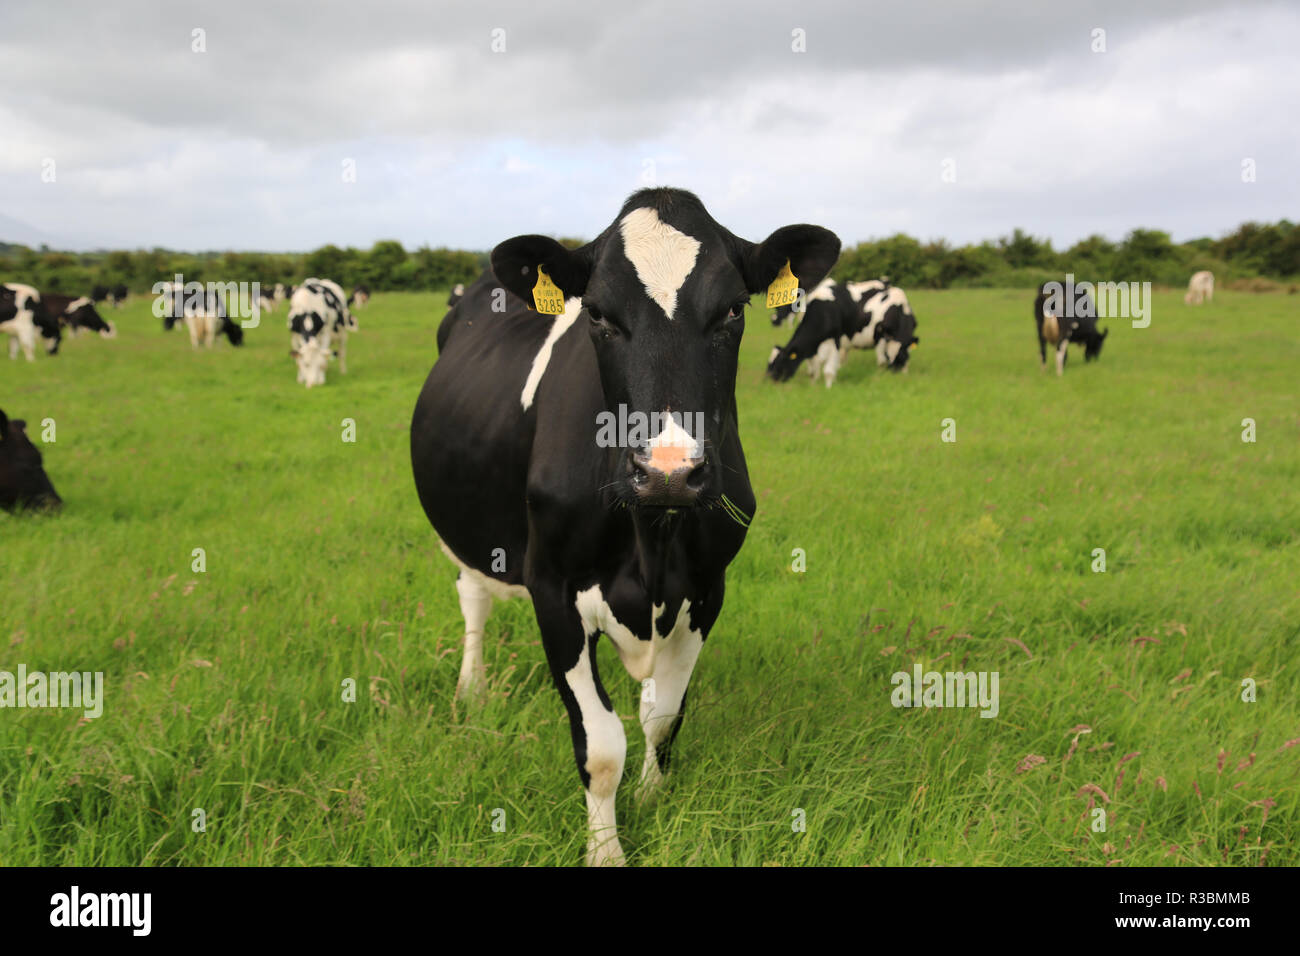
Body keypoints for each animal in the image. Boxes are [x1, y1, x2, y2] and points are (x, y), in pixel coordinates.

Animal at [410, 187, 839, 865]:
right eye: (598, 315)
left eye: (732, 311)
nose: (668, 471)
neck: (652, 538)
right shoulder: (552, 587)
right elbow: (602, 744)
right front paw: (607, 849)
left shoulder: (708, 588)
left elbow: (662, 716)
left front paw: (652, 799)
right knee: (472, 598)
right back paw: (470, 690)